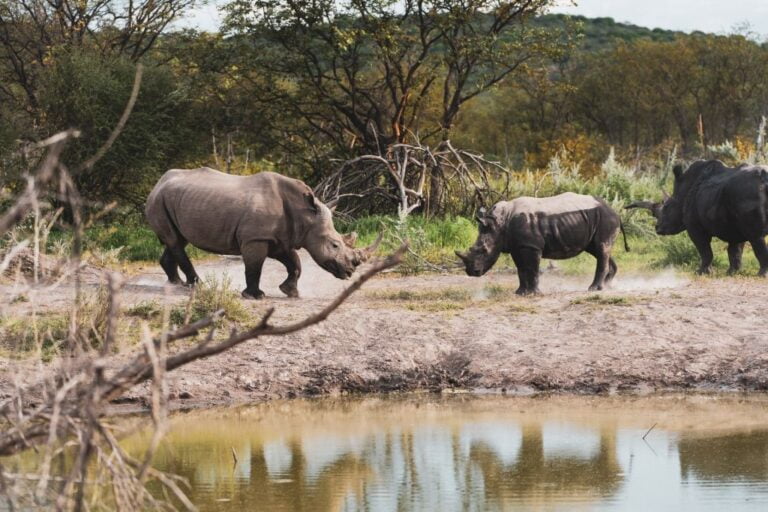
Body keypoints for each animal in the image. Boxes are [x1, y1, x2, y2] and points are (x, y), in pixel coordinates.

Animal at [145, 168, 381, 299]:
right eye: (334, 245)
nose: (350, 271)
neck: (305, 216)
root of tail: (159, 181)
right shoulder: (255, 238)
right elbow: (254, 267)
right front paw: (255, 296)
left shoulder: (281, 239)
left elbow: (295, 264)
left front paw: (290, 292)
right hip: (158, 200)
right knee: (175, 241)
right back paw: (197, 285)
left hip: (174, 200)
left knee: (177, 239)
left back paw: (175, 284)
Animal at [456, 192, 628, 295]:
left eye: (484, 250)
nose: (471, 272)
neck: (499, 223)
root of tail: (615, 211)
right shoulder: (517, 247)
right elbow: (521, 269)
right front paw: (520, 293)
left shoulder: (531, 246)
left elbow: (532, 269)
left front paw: (534, 293)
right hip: (595, 219)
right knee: (599, 250)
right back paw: (607, 285)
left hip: (605, 218)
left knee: (601, 248)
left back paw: (593, 289)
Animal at [627, 160, 768, 276]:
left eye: (666, 207)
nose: (658, 228)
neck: (681, 194)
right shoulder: (734, 225)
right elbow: (735, 249)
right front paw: (731, 272)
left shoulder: (694, 226)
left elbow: (704, 250)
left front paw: (701, 272)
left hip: (748, 193)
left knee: (757, 237)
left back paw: (762, 275)